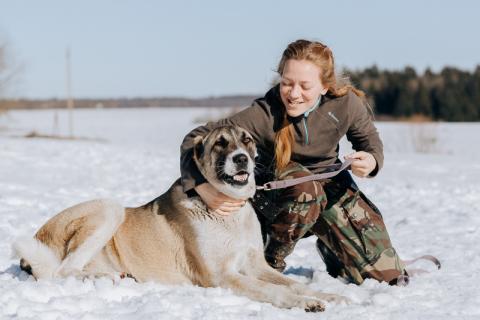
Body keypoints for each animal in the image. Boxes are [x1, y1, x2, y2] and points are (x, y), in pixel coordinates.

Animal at [12, 125, 348, 312]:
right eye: (220, 144)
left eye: (247, 140)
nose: (241, 158)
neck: (228, 210)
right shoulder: (221, 276)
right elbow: (275, 290)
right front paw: (304, 304)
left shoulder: (256, 264)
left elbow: (292, 283)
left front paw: (326, 295)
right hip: (108, 208)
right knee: (62, 271)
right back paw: (104, 278)